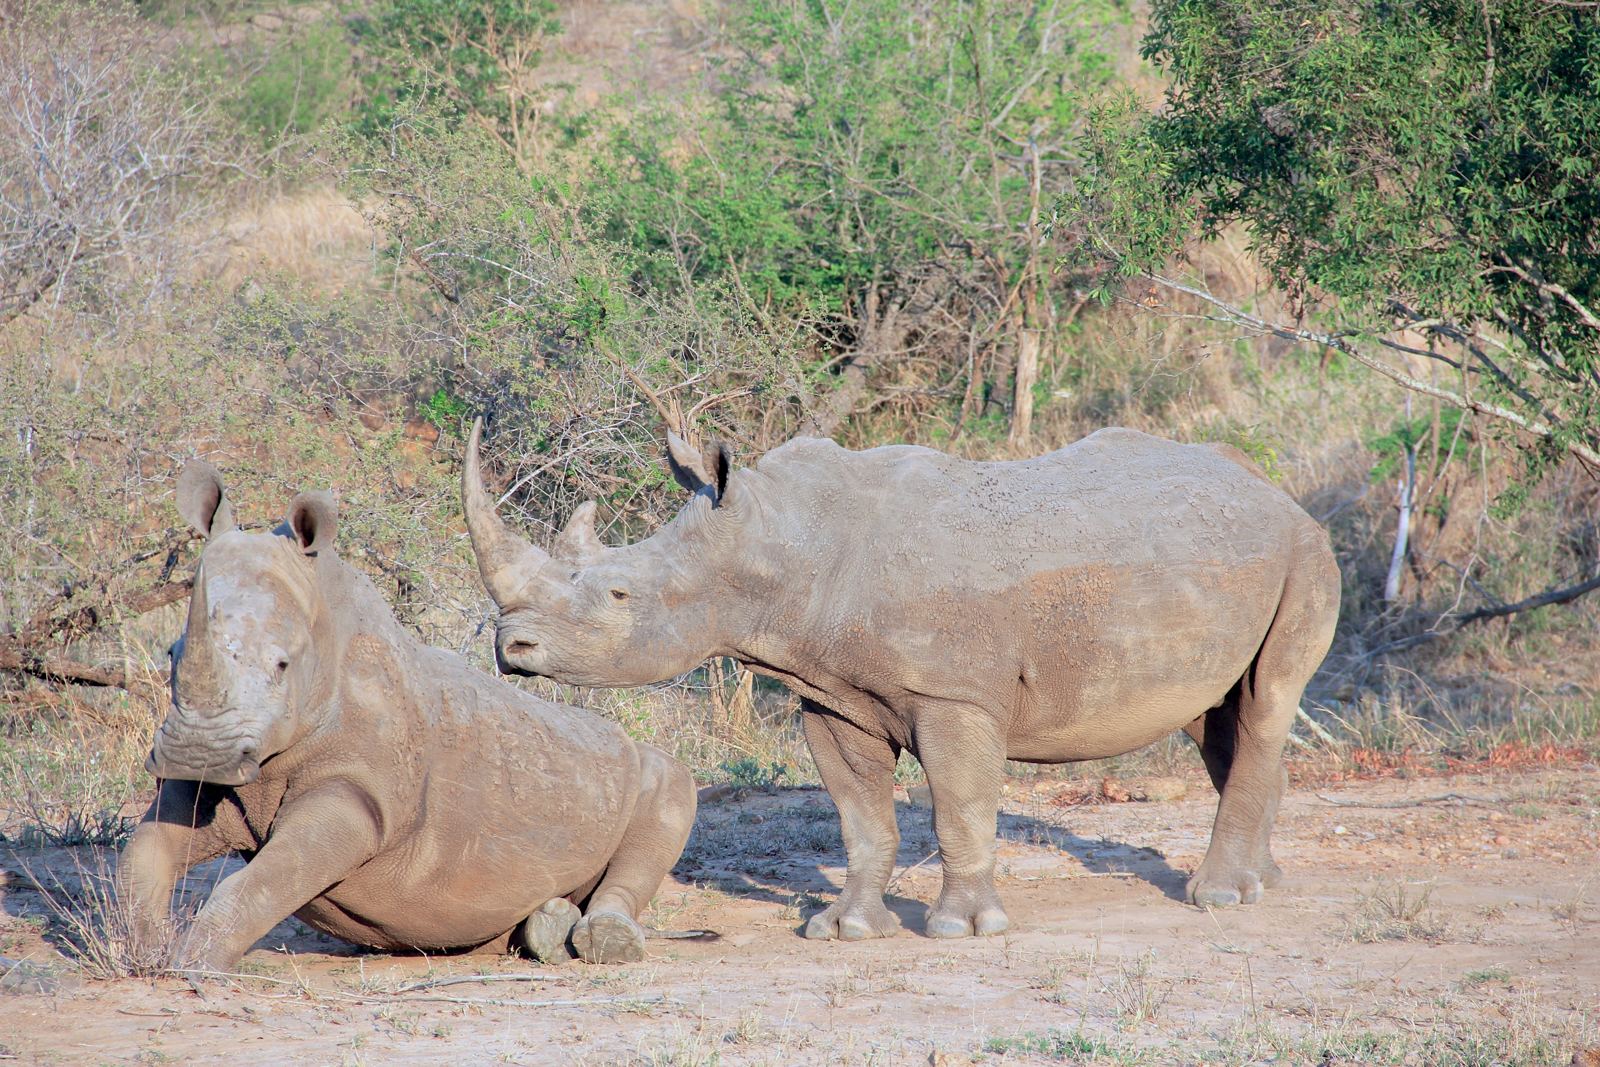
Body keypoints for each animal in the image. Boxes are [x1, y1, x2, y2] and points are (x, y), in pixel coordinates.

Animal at [117, 461, 696, 972]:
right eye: (171, 654)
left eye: (281, 665)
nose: (196, 752)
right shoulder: (209, 779)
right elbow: (142, 854)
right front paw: (140, 953)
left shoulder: (360, 797)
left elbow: (262, 879)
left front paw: (194, 967)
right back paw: (542, 930)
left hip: (633, 765)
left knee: (669, 787)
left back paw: (605, 941)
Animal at [463, 420, 1340, 941]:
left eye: (618, 595)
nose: (512, 646)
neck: (778, 541)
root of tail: (1273, 488)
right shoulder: (830, 691)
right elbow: (861, 816)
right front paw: (845, 929)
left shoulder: (953, 694)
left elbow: (958, 806)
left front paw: (962, 930)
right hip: (1214, 562)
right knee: (1218, 716)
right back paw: (1262, 882)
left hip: (1304, 551)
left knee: (1266, 703)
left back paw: (1216, 898)